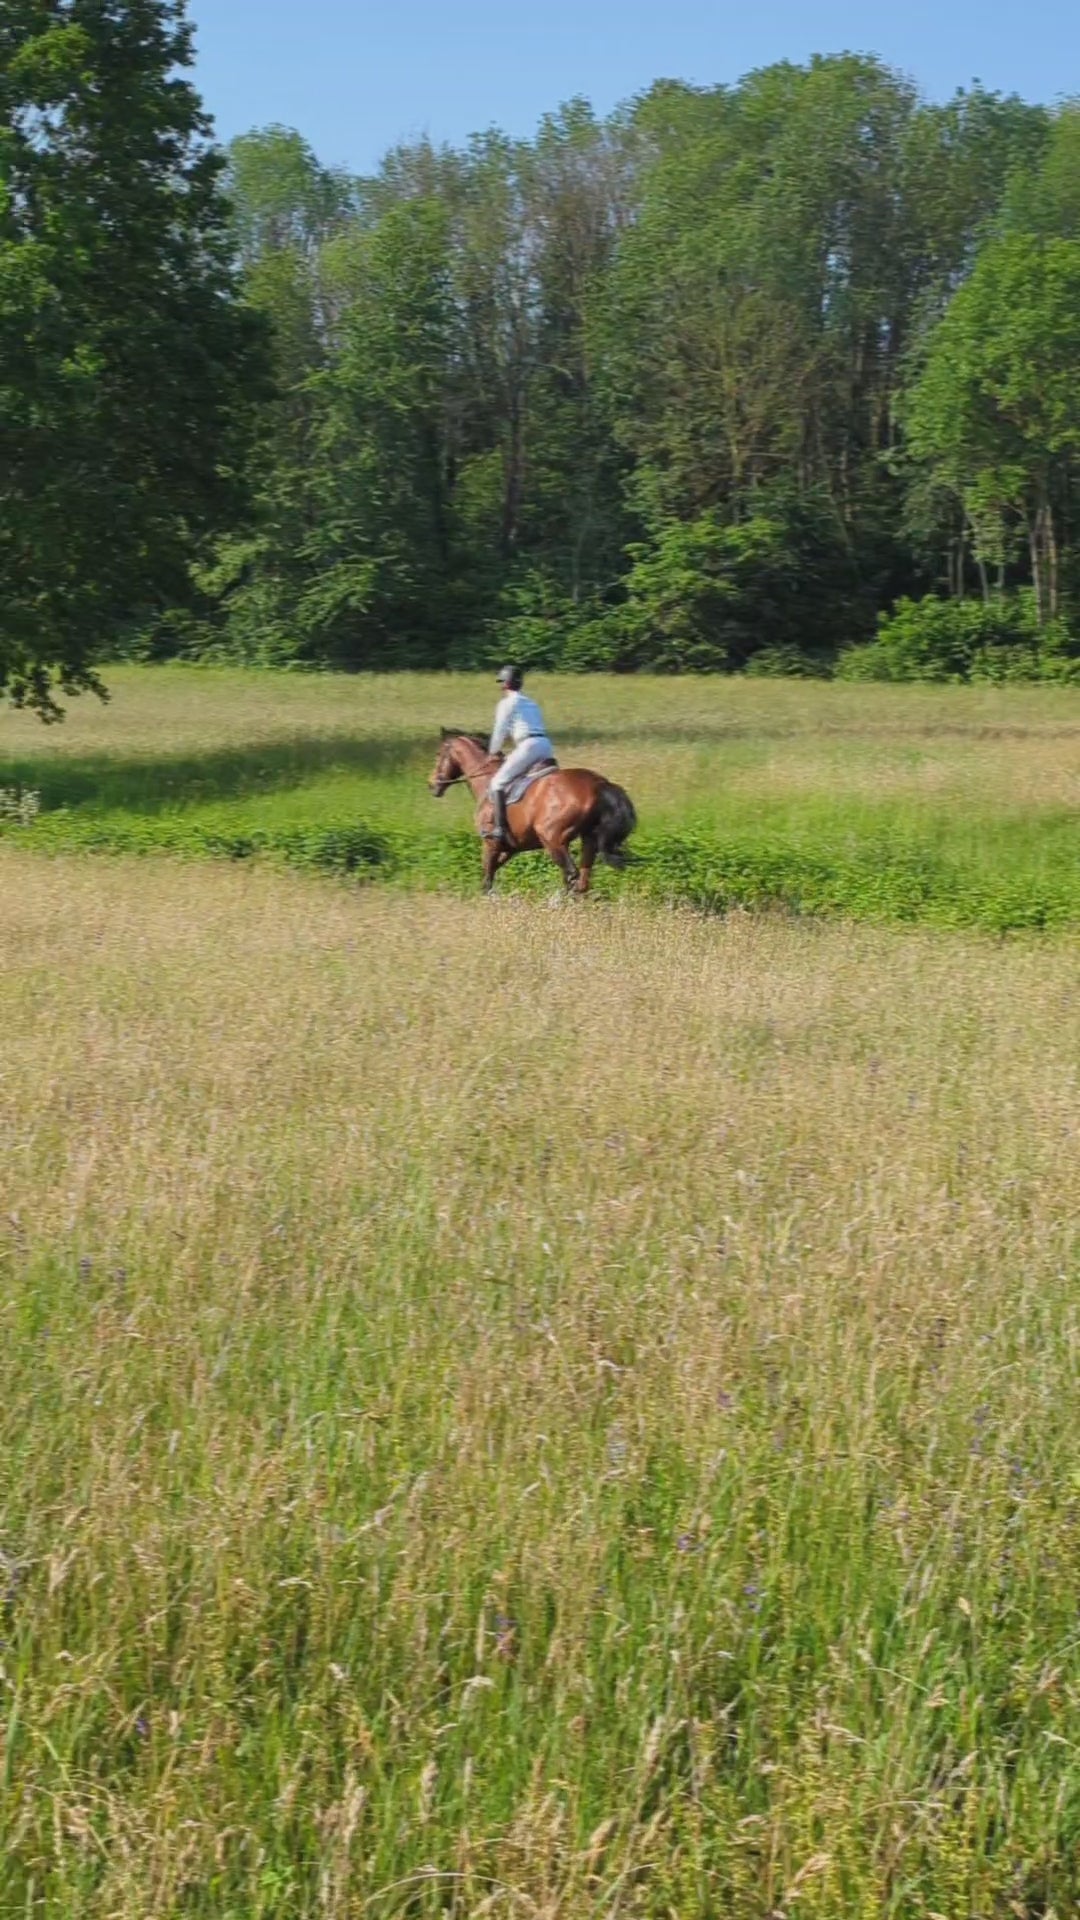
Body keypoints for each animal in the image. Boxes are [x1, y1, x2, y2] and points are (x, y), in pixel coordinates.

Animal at [424, 729, 634, 894]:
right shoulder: (511, 848)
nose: (432, 784)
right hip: (588, 839)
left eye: (438, 754)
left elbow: (487, 877)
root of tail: (599, 784)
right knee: (582, 880)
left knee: (571, 874)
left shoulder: (490, 844)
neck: (485, 781)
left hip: (552, 839)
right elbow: (492, 872)